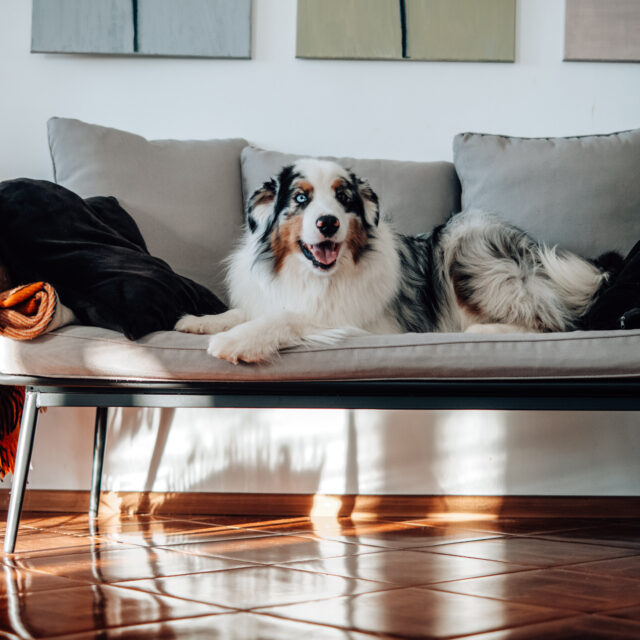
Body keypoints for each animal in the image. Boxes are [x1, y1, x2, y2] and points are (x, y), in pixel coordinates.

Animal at [174, 158, 604, 362]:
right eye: (300, 198)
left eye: (343, 197)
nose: (328, 222)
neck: (313, 276)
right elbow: (248, 311)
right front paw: (201, 322)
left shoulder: (353, 323)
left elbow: (285, 318)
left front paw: (235, 341)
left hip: (465, 237)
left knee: (552, 323)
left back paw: (485, 331)